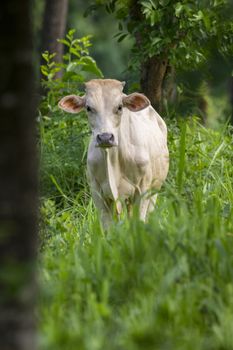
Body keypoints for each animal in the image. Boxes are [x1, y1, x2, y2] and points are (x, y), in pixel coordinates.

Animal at [58, 78, 167, 228]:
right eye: (88, 108)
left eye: (120, 107)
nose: (105, 137)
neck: (113, 160)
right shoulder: (98, 193)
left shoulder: (143, 189)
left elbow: (139, 222)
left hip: (155, 188)